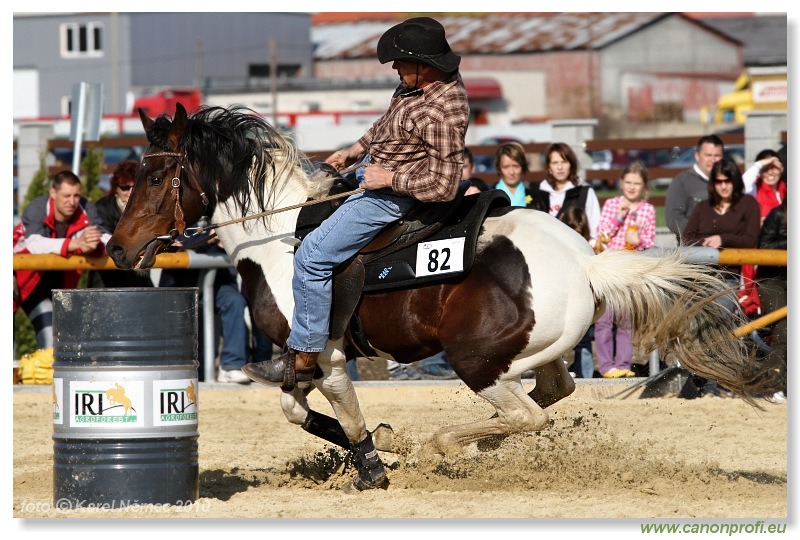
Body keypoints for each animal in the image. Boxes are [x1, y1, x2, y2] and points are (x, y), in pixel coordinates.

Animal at [108, 103, 768, 492]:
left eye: (152, 174)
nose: (117, 248)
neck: (282, 236)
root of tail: (585, 261)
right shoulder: (300, 362)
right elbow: (298, 411)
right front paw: (380, 446)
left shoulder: (325, 354)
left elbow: (345, 410)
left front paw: (376, 464)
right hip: (535, 354)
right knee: (552, 393)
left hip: (476, 360)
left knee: (527, 413)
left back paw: (444, 444)